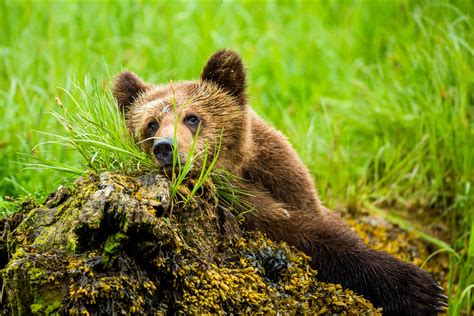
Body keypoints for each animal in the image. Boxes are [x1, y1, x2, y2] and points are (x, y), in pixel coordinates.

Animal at [114, 50, 448, 316]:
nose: (165, 147)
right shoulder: (243, 205)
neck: (237, 169)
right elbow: (304, 234)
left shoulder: (283, 173)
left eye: (192, 117)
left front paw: (427, 291)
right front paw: (421, 290)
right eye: (151, 124)